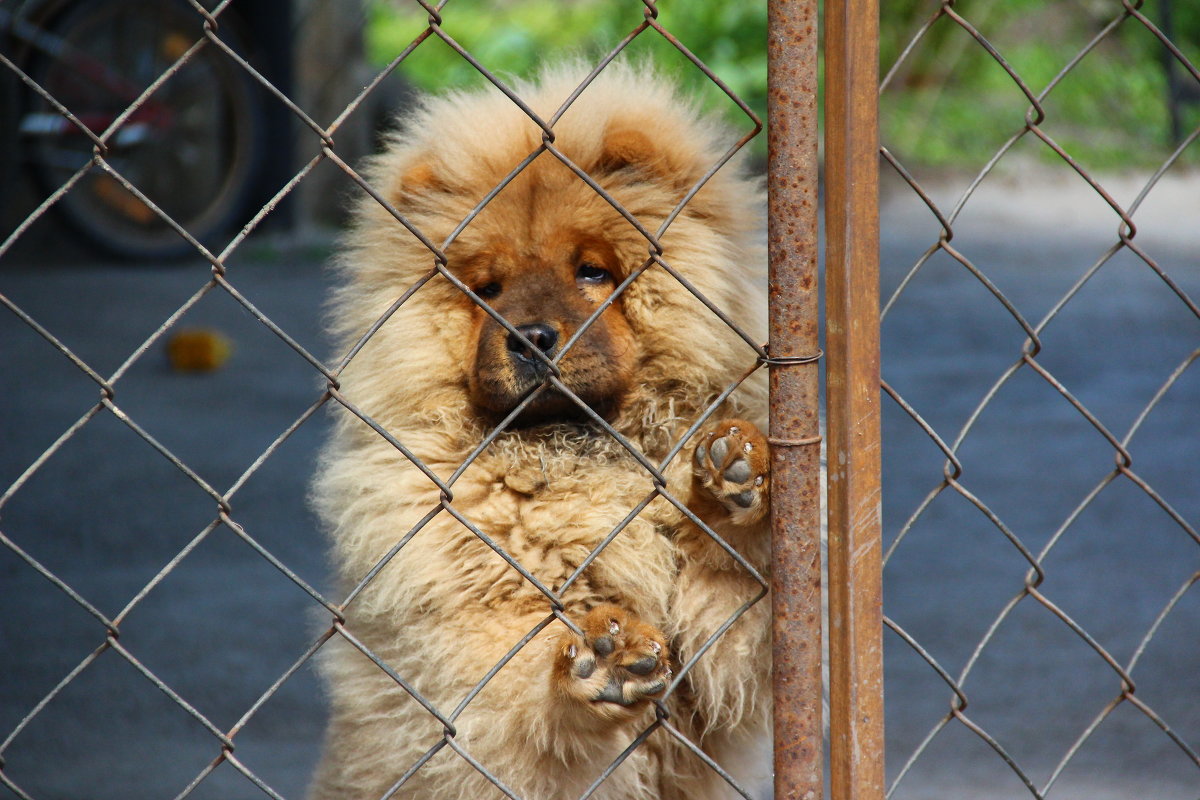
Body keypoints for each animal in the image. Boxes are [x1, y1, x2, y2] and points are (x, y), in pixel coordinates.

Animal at [309, 64, 772, 800]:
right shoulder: (470, 635)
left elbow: (731, 583)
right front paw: (596, 666)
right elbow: (521, 699)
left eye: (592, 271)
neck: (574, 462)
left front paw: (734, 477)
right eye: (488, 289)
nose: (529, 339)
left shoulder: (720, 658)